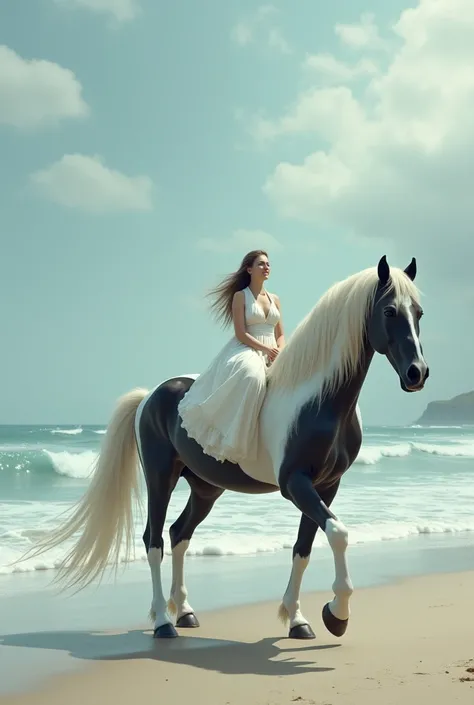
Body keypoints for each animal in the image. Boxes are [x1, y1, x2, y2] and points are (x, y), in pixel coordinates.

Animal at [21, 256, 430, 640]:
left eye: (419, 313)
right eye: (389, 311)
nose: (418, 373)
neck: (317, 399)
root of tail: (150, 396)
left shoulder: (327, 485)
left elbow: (304, 548)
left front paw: (299, 619)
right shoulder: (296, 484)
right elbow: (338, 534)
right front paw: (337, 615)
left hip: (205, 487)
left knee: (179, 534)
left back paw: (185, 612)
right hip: (160, 477)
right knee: (154, 539)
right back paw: (163, 622)